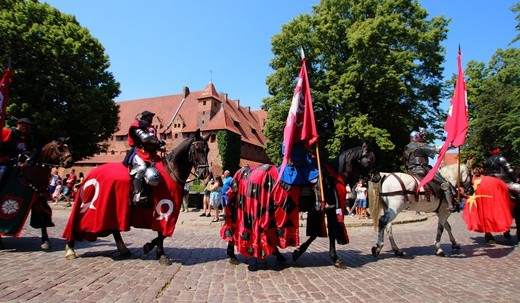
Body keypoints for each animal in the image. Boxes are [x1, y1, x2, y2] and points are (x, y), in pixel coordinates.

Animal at [63, 130, 211, 266]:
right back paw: (70, 249)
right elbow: (162, 232)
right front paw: (156, 251)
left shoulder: (167, 209)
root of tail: (90, 174)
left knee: (114, 228)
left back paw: (123, 249)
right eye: (197, 149)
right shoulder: (164, 208)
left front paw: (158, 252)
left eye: (207, 150)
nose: (204, 173)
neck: (170, 172)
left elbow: (162, 234)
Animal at [221, 144, 380, 268]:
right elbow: (331, 233)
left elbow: (316, 233)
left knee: (239, 227)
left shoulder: (318, 211)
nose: (377, 177)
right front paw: (335, 259)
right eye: (370, 160)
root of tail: (244, 171)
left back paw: (237, 255)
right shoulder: (331, 210)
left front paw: (298, 252)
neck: (335, 176)